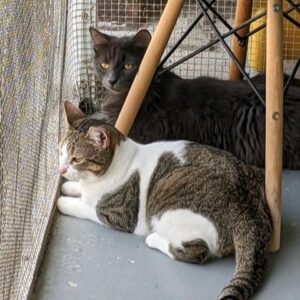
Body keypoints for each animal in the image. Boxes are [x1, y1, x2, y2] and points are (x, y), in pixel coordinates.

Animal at [58, 101, 272, 300]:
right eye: (61, 153)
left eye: (76, 159)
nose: (60, 169)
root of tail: (248, 207)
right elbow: (78, 189)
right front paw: (69, 186)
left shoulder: (118, 215)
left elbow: (85, 207)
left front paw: (63, 201)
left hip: (165, 212)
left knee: (198, 251)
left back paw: (154, 239)